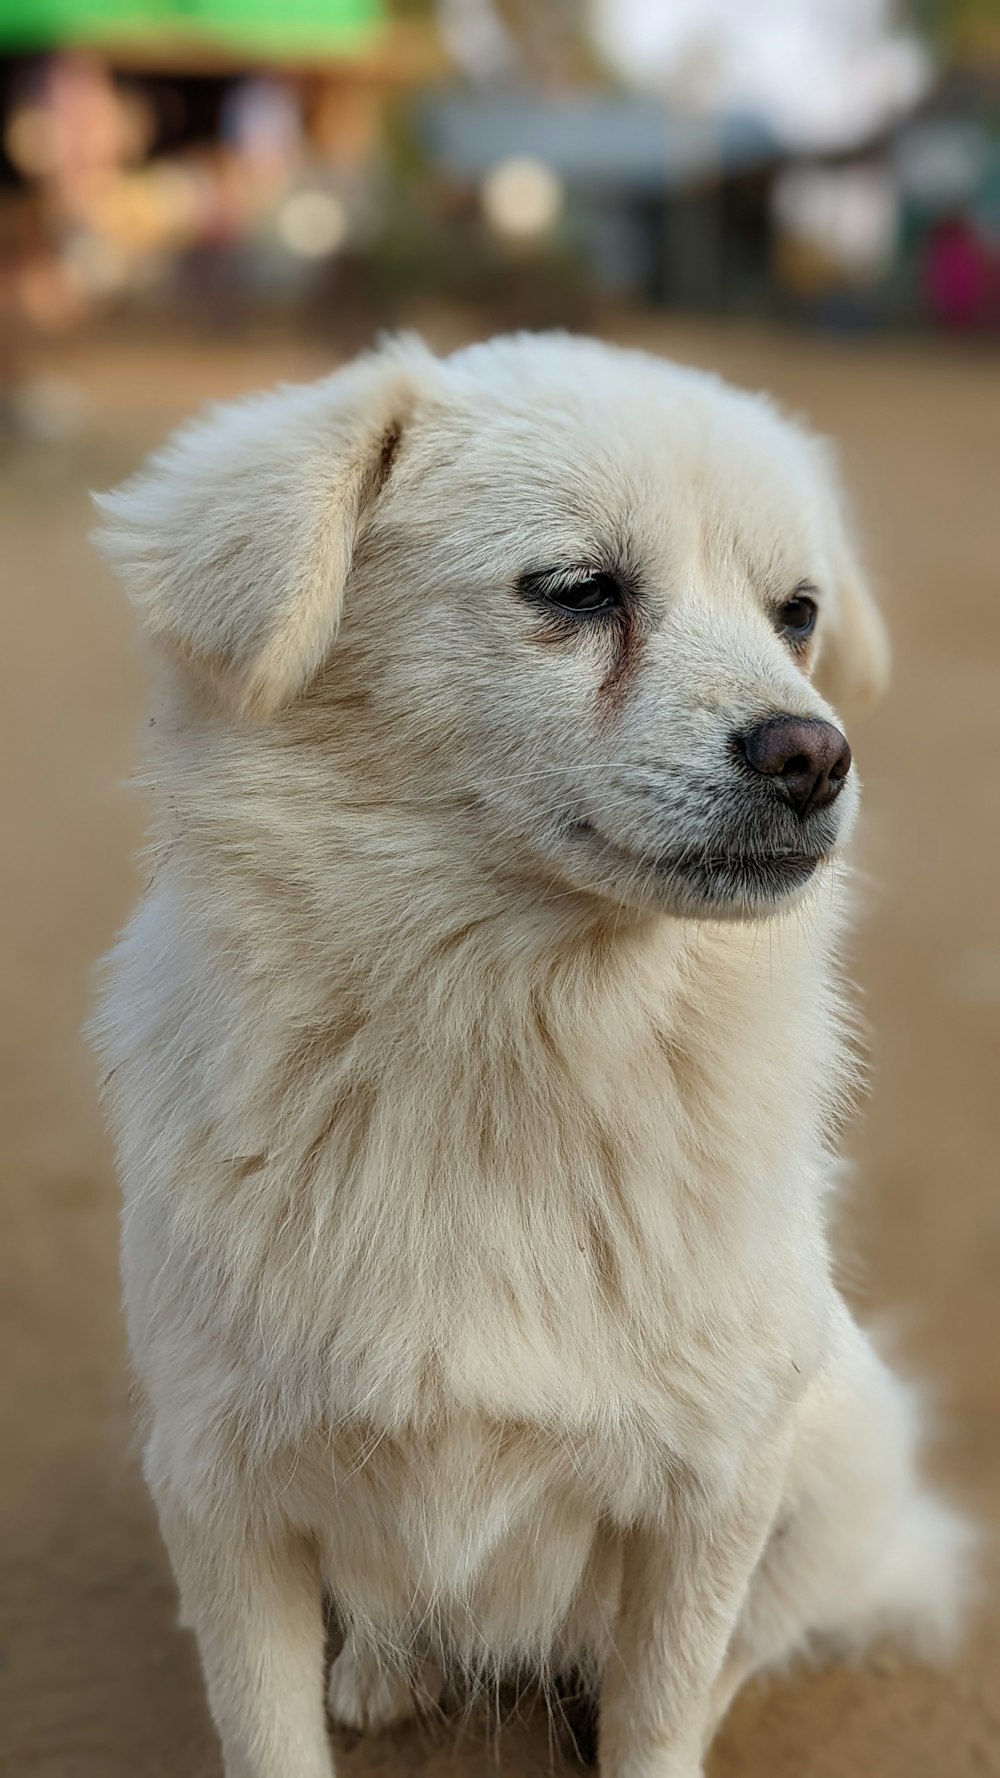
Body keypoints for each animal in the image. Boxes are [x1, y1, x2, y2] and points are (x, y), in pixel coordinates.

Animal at [93, 334, 967, 1778]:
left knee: (730, 1653)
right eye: (576, 590)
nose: (815, 755)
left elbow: (660, 1705)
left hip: (841, 1465)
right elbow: (268, 1727)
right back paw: (385, 1667)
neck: (518, 1035)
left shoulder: (715, 1485)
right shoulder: (220, 1487)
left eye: (795, 614)